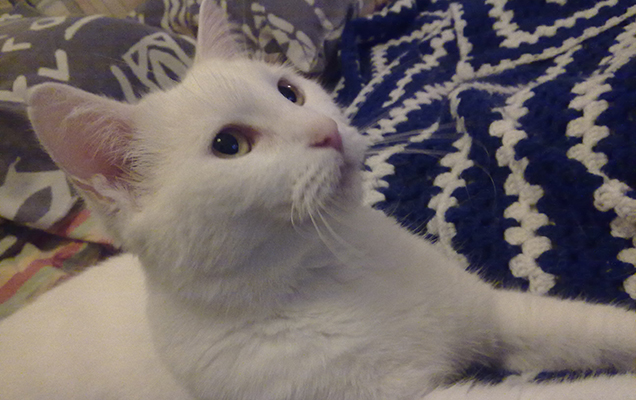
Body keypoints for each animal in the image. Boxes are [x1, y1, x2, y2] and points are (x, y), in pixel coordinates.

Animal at [1, 1, 636, 398]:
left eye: (290, 90)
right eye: (229, 145)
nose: (324, 131)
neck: (333, 268)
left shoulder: (495, 315)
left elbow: (591, 326)